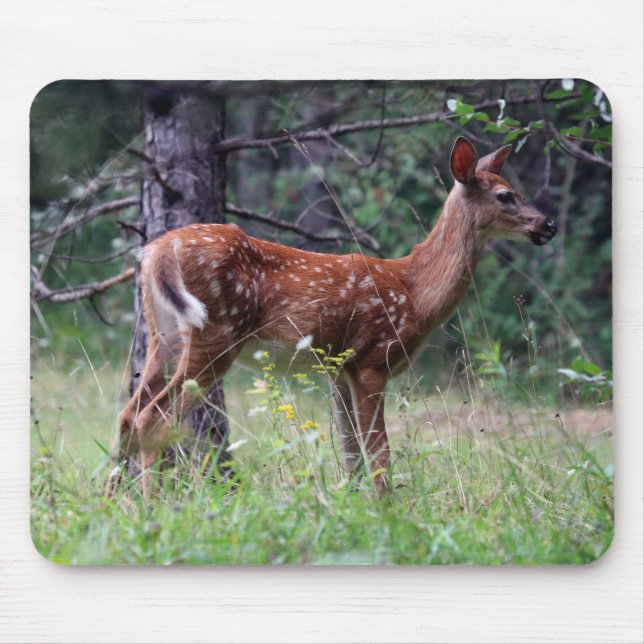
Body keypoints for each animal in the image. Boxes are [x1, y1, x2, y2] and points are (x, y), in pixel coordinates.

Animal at [111, 136, 557, 497]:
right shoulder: (373, 359)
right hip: (214, 333)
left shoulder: (338, 368)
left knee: (128, 413)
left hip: (163, 334)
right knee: (153, 417)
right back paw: (150, 507)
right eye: (505, 195)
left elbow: (349, 455)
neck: (415, 292)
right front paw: (390, 512)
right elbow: (378, 454)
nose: (549, 224)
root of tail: (157, 249)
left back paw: (115, 504)